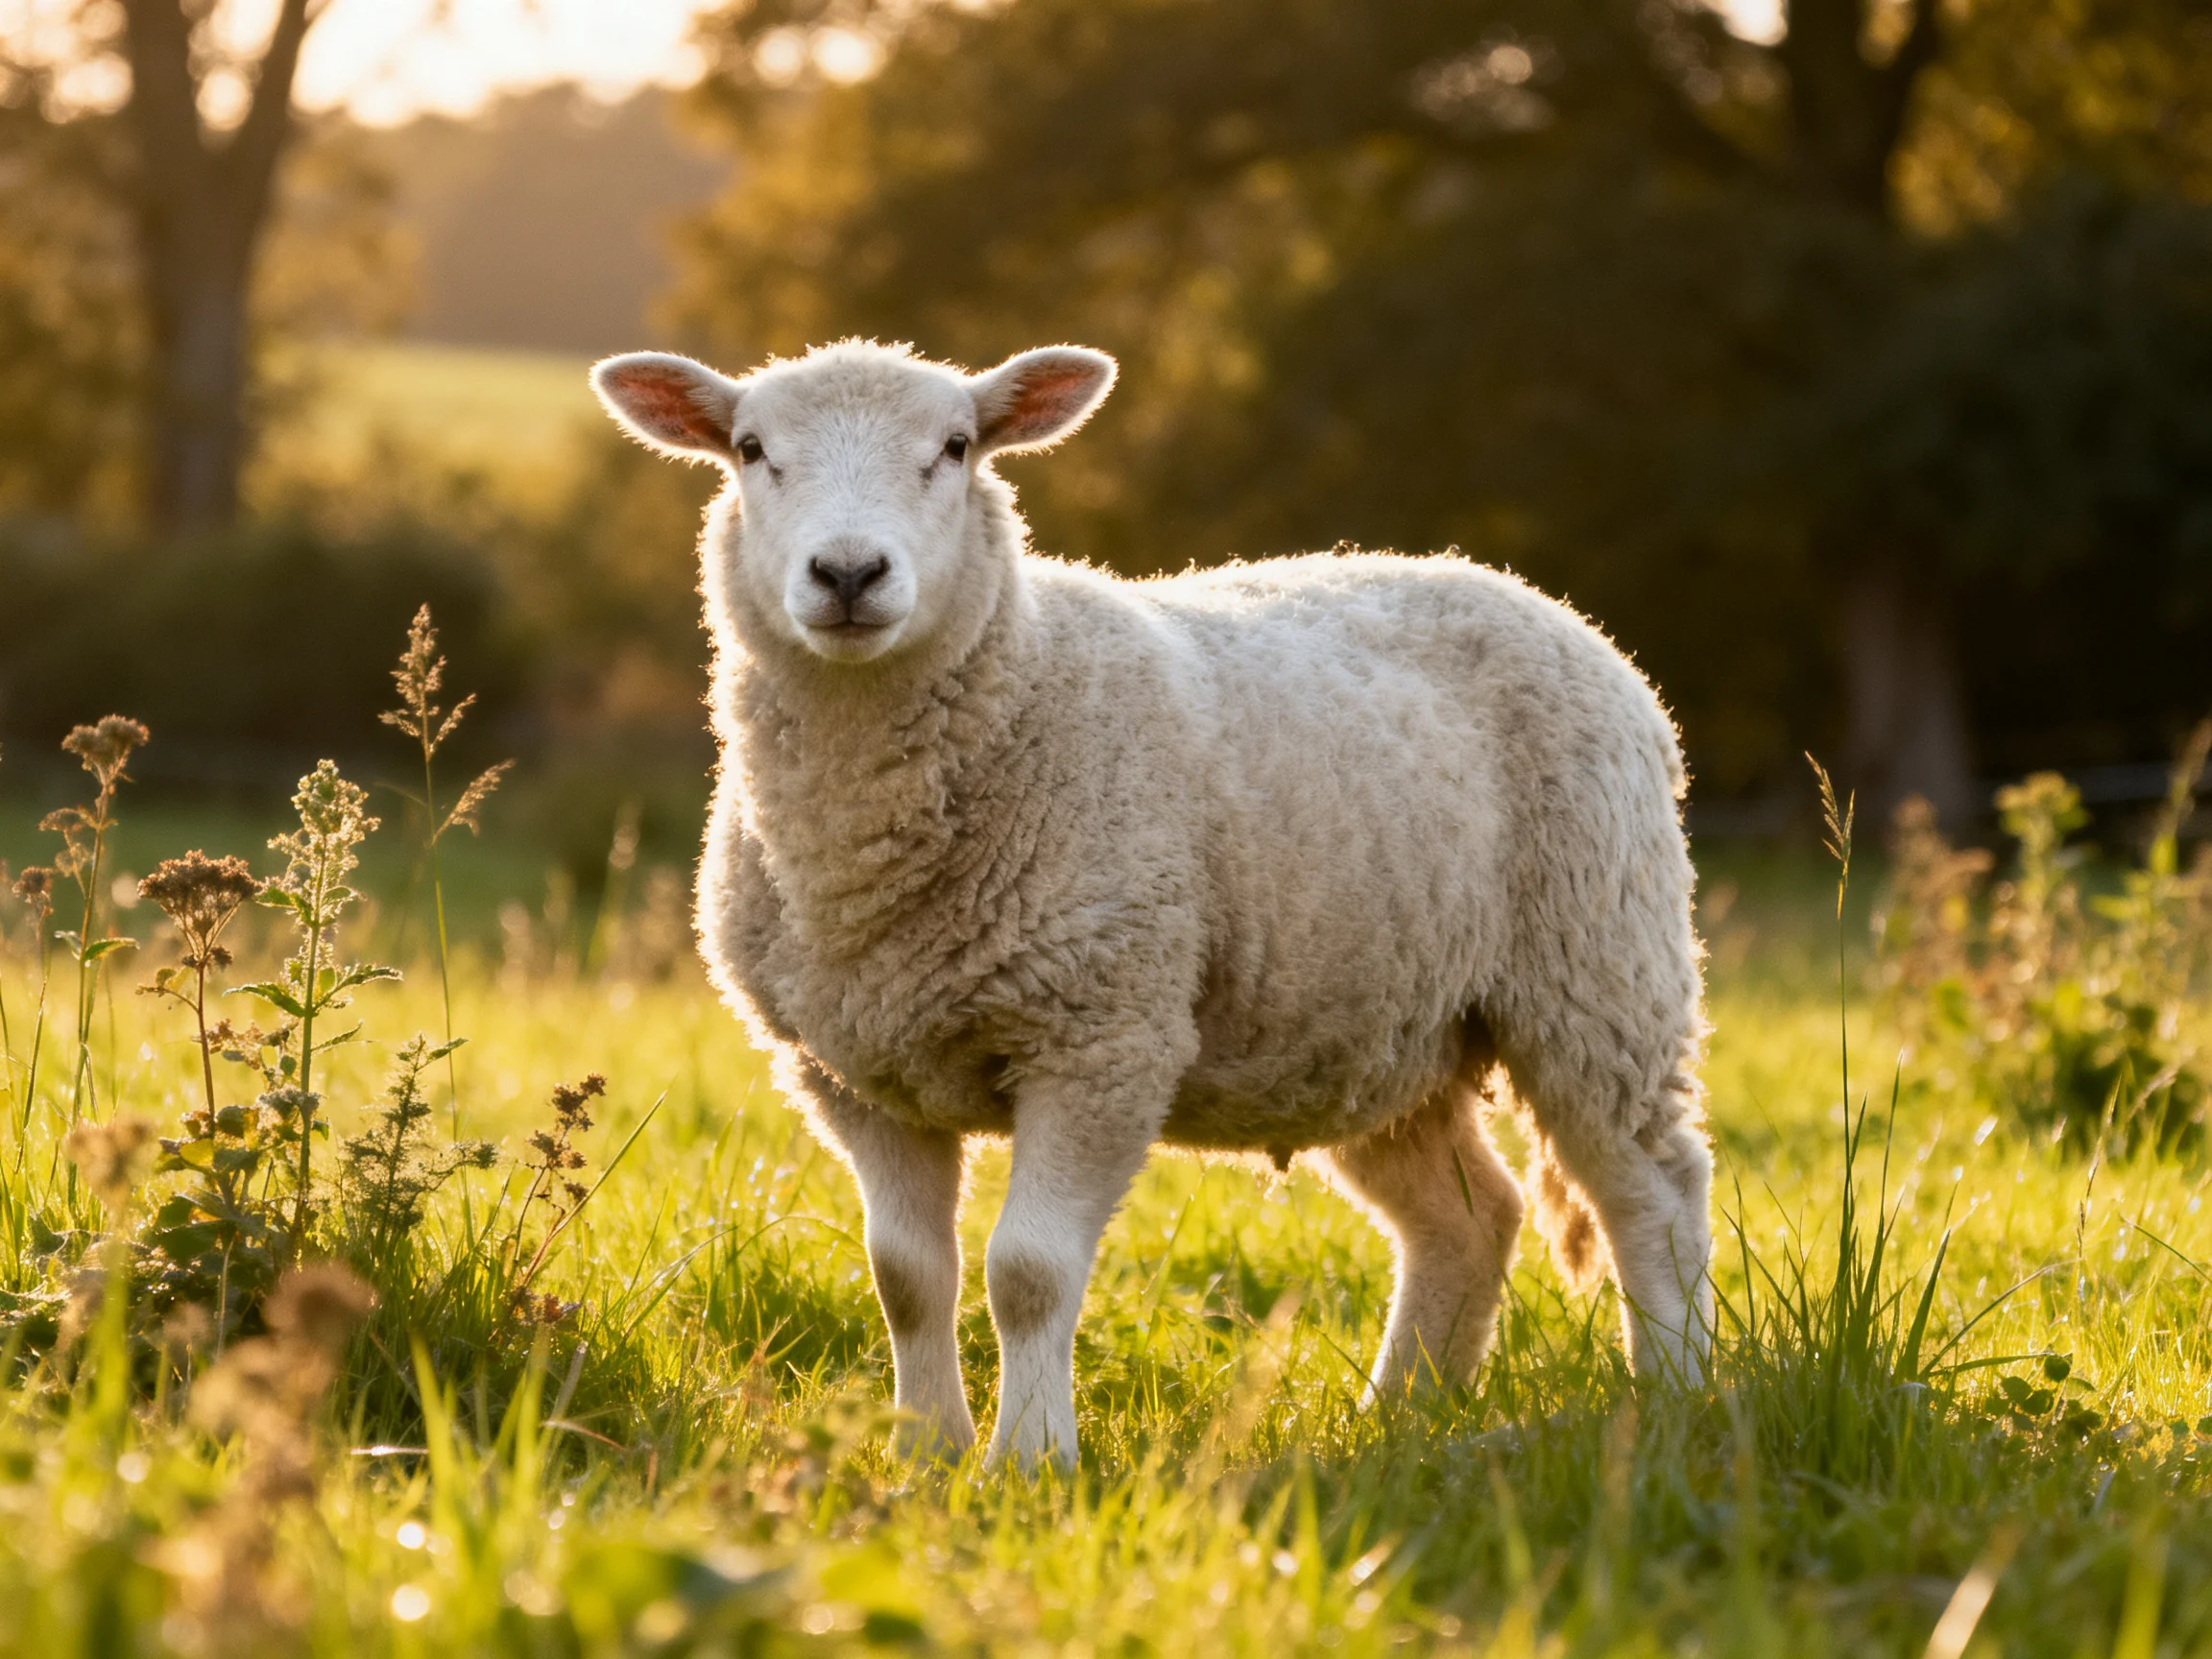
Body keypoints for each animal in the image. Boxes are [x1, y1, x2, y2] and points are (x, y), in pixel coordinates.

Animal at [591, 338, 1714, 1468]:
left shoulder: (1102, 1034)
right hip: (1380, 1025)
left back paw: (1674, 1394)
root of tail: (1533, 596)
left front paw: (1029, 1462)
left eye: (955, 447)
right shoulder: (851, 1072)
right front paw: (925, 1455)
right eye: (750, 449)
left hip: (1597, 966)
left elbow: (1027, 1272)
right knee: (1469, 1217)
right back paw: (1401, 1415)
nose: (850, 574)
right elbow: (907, 1279)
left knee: (1652, 1190)